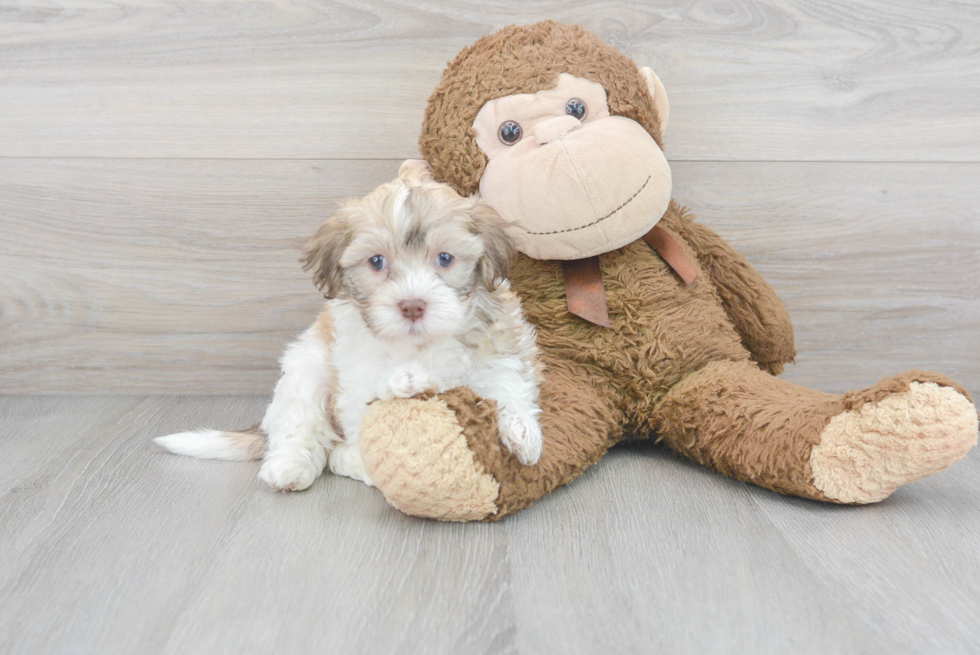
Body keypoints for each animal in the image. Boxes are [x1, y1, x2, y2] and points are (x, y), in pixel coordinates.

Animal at [151, 160, 544, 492]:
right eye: (376, 262)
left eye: (445, 258)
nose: (412, 305)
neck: (421, 344)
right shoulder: (356, 372)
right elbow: (372, 399)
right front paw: (405, 380)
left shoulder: (498, 349)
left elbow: (506, 384)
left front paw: (522, 431)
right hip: (306, 365)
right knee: (309, 431)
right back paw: (294, 467)